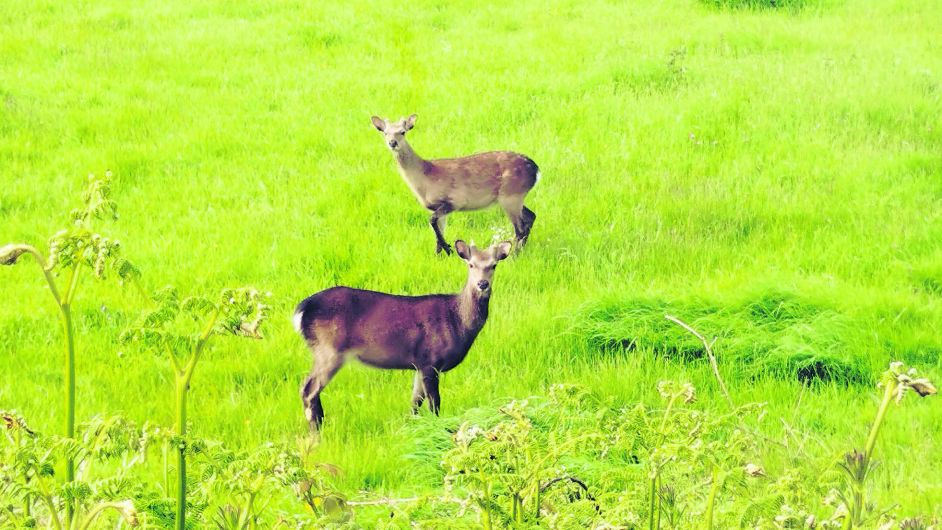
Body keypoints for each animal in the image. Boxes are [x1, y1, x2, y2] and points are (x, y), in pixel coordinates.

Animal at [296, 237, 516, 426]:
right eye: (471, 264)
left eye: (493, 265)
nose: (482, 284)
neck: (458, 321)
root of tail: (300, 311)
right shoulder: (430, 360)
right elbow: (434, 403)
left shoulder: (419, 363)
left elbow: (415, 402)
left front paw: (411, 428)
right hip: (329, 350)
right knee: (308, 389)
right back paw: (317, 432)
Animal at [372, 114, 544, 255]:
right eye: (385, 132)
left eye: (402, 131)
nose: (392, 142)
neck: (425, 179)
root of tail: (536, 169)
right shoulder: (437, 207)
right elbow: (437, 230)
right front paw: (439, 255)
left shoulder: (454, 201)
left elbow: (432, 221)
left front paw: (448, 249)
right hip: (514, 196)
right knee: (531, 216)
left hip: (510, 194)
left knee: (520, 228)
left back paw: (513, 256)